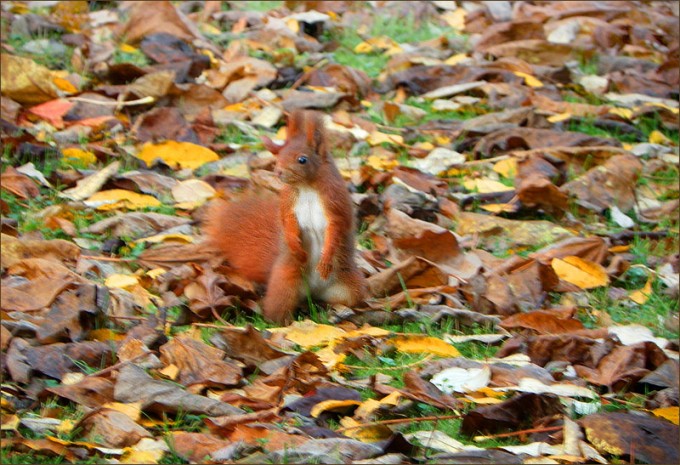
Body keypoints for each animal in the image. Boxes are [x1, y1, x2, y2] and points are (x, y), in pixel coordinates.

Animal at [203, 110, 368, 324]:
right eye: (278, 156)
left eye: (302, 159)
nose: (279, 172)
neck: (306, 187)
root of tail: (313, 291)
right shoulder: (288, 203)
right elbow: (288, 222)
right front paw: (296, 247)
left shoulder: (336, 204)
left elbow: (335, 229)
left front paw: (325, 259)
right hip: (285, 284)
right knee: (277, 309)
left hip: (350, 286)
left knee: (348, 299)